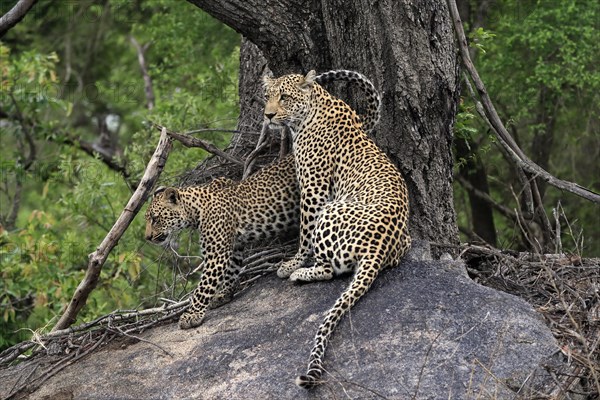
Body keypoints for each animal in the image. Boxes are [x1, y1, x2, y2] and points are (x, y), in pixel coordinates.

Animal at [144, 70, 380, 330]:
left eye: (155, 218)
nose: (147, 237)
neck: (196, 208)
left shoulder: (216, 255)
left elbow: (204, 285)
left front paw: (191, 315)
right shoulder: (235, 246)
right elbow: (232, 270)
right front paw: (224, 295)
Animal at [264, 69, 412, 388]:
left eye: (284, 97)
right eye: (267, 96)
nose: (267, 115)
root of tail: (378, 247)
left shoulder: (314, 189)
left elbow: (305, 232)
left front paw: (292, 262)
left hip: (331, 211)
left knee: (328, 269)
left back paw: (298, 273)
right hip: (402, 241)